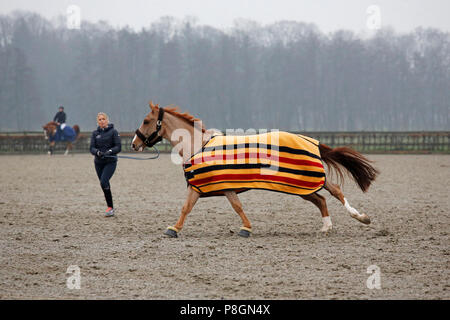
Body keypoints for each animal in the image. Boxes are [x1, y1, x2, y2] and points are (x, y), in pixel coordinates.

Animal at [131, 102, 380, 238]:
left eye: (146, 120)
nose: (134, 143)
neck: (198, 146)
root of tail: (310, 140)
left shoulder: (212, 187)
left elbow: (222, 207)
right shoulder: (211, 188)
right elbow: (195, 208)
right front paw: (174, 229)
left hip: (310, 179)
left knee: (335, 190)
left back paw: (361, 217)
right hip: (302, 187)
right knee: (321, 199)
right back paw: (327, 227)